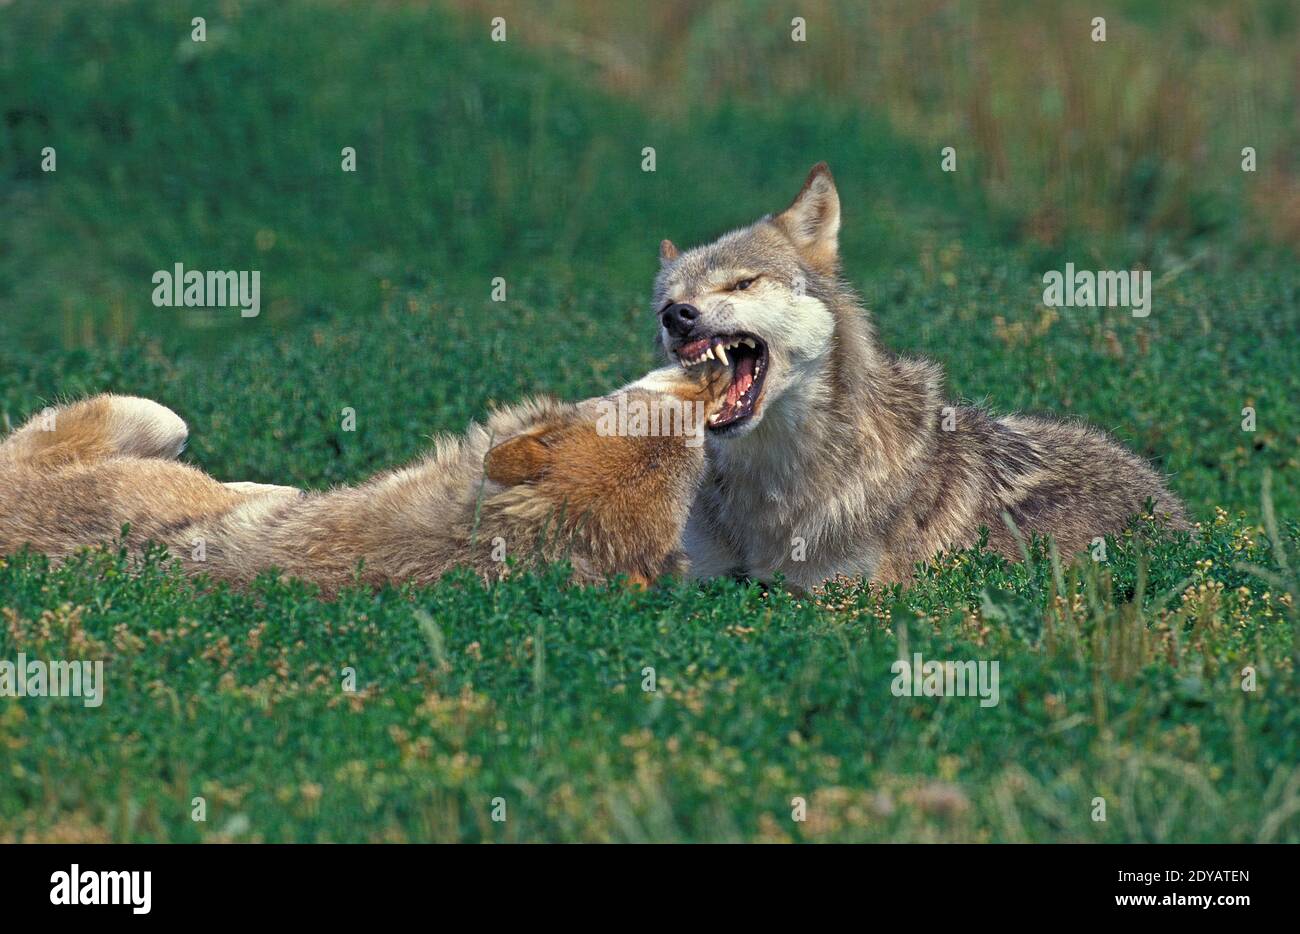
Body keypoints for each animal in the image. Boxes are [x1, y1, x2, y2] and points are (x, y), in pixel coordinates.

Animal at [654, 163, 1187, 590]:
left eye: (742, 283)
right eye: (666, 303)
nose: (677, 316)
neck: (773, 485)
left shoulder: (846, 596)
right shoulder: (698, 581)